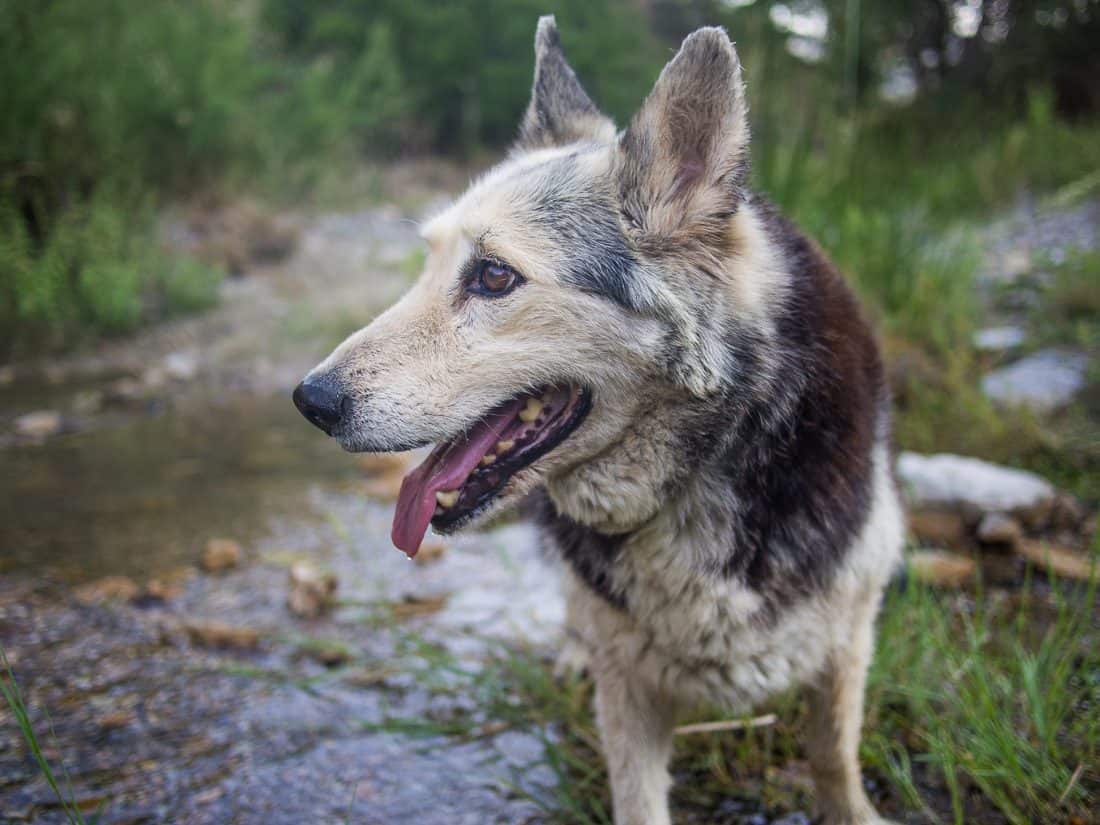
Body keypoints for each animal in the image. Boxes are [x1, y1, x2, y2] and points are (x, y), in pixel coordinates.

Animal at [294, 14, 902, 825]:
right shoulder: (629, 688)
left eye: (494, 275)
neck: (700, 472)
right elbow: (638, 796)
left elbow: (833, 755)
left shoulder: (849, 634)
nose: (311, 400)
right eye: (426, 266)